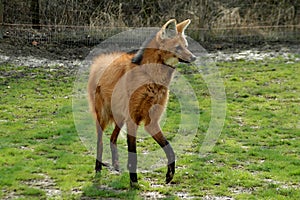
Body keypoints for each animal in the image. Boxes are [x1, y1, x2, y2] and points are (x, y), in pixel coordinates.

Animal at [88, 18, 196, 186]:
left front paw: (169, 175)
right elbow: (133, 153)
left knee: (112, 138)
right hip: (104, 117)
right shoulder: (133, 119)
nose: (193, 57)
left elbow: (169, 149)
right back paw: (98, 169)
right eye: (178, 47)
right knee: (100, 142)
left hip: (120, 117)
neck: (152, 78)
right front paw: (134, 182)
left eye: (186, 46)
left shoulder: (151, 122)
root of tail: (102, 62)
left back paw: (116, 165)